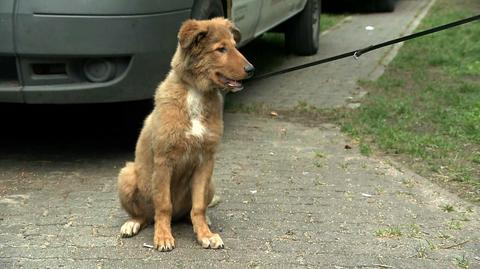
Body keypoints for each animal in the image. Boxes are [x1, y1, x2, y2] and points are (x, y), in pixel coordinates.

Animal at [117, 17, 253, 250]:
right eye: (221, 49)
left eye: (235, 46)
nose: (251, 69)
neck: (196, 93)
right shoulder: (164, 161)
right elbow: (164, 205)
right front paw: (163, 236)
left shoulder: (206, 161)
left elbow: (198, 207)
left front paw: (205, 235)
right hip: (126, 175)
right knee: (145, 215)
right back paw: (132, 224)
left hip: (210, 184)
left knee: (191, 212)